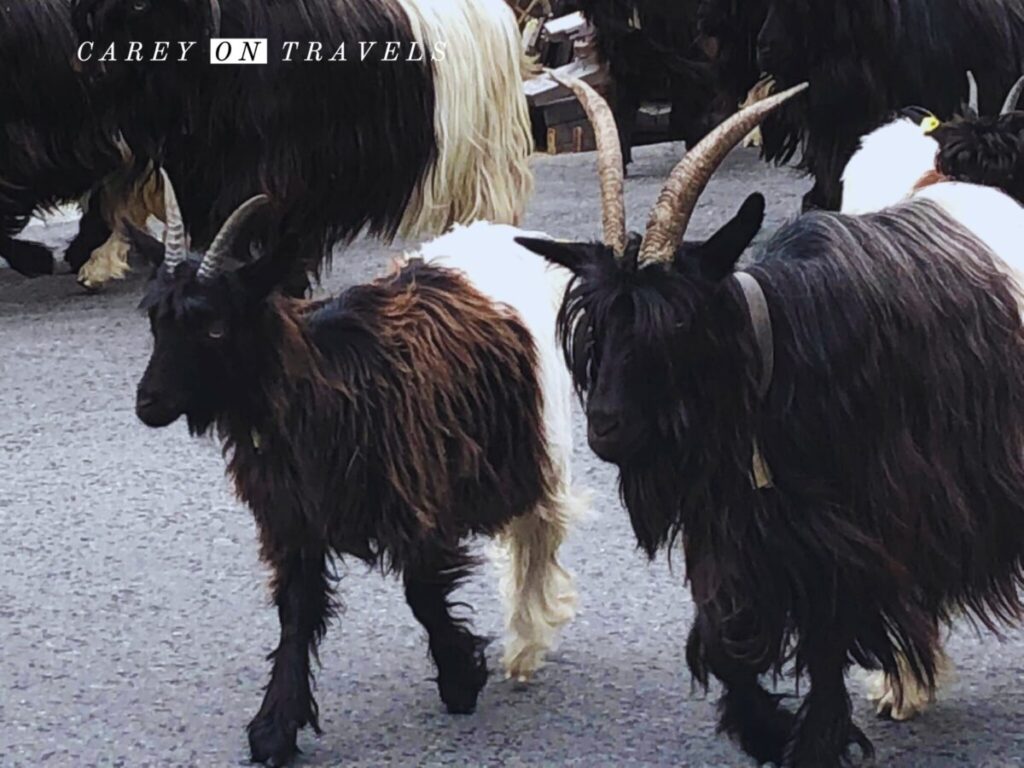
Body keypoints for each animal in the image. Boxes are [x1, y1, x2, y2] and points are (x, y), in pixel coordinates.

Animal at [129, 174, 585, 768]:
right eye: (155, 318)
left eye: (214, 328)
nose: (148, 403)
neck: (322, 383)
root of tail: (508, 234)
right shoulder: (294, 519)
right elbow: (296, 612)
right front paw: (274, 728)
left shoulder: (419, 501)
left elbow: (422, 593)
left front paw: (461, 679)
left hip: (540, 439)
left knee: (539, 535)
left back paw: (526, 644)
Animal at [516, 78, 1024, 768]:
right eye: (595, 323)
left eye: (677, 322)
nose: (606, 428)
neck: (776, 353)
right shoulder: (746, 538)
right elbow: (727, 642)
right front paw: (766, 729)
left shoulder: (852, 535)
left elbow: (830, 641)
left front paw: (813, 742)